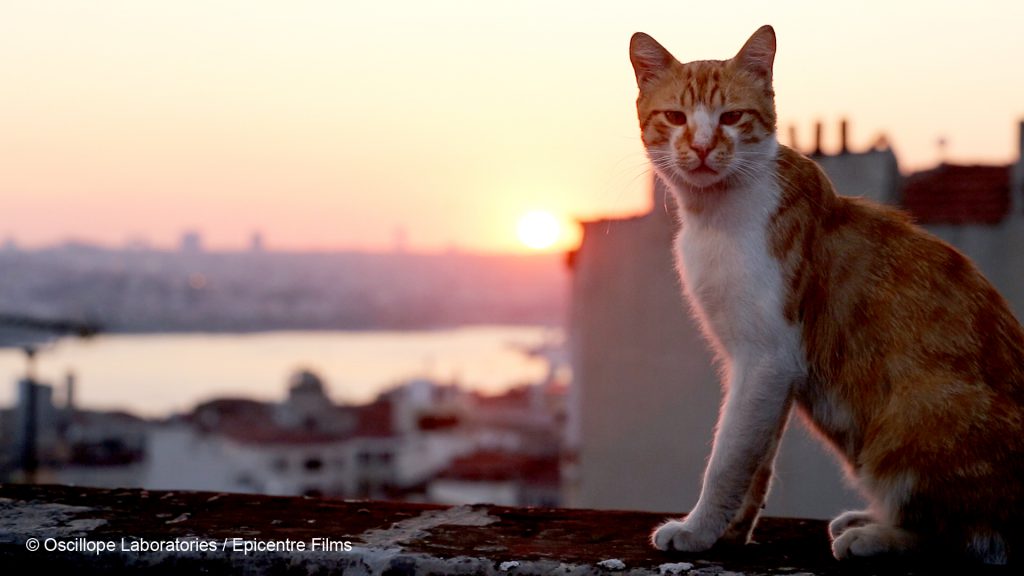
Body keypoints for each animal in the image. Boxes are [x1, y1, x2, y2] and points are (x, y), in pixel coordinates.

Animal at [626, 24, 1024, 561]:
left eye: (731, 117)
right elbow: (756, 458)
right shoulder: (765, 370)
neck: (715, 218)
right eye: (675, 117)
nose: (704, 147)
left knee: (965, 535)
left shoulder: (766, 356)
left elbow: (728, 458)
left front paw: (699, 529)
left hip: (922, 407)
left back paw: (875, 535)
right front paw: (730, 533)